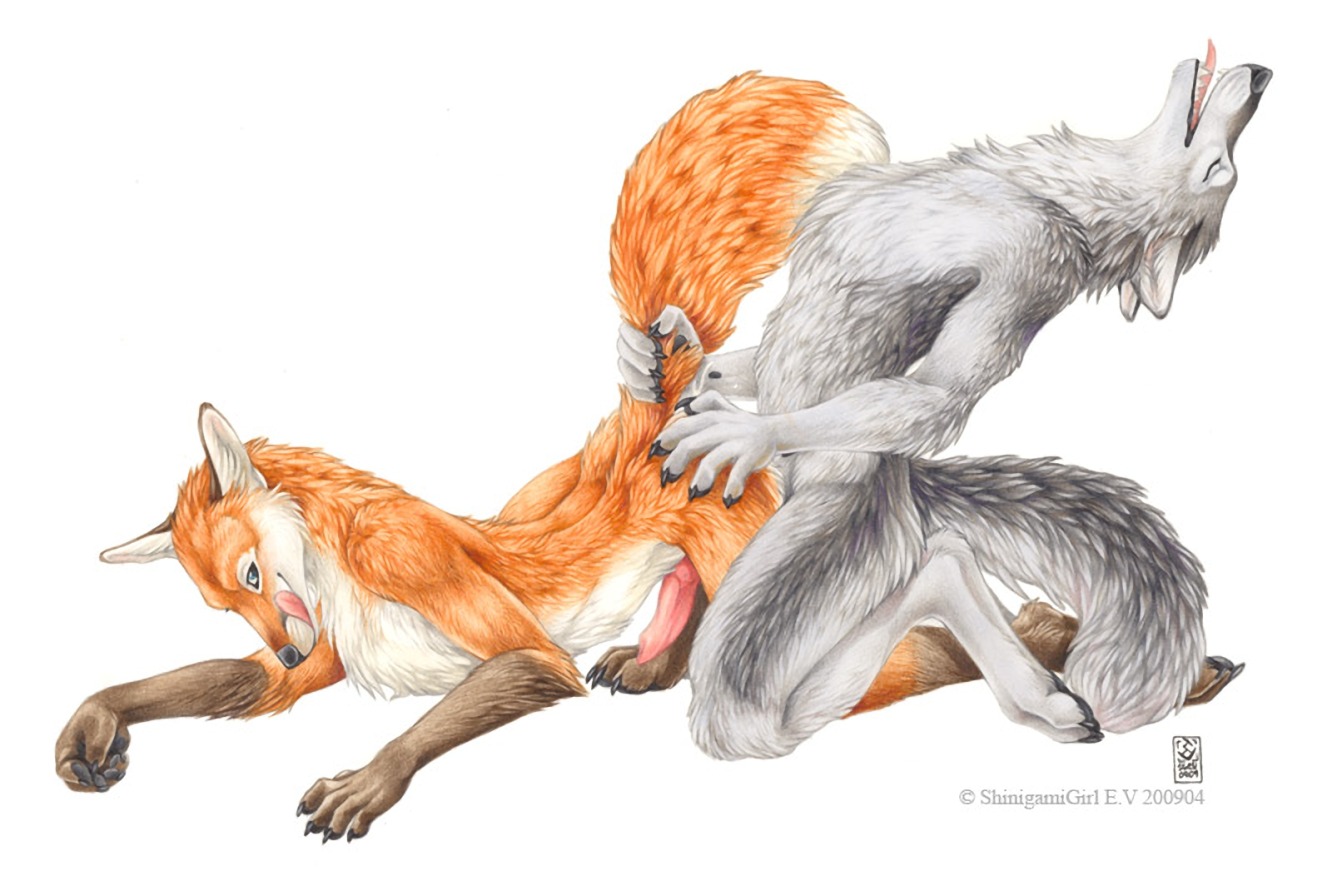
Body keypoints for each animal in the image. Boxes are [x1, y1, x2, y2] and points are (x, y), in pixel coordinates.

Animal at [57, 73, 1082, 841]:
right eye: (221, 602)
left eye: (249, 571)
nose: (289, 640)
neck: (338, 572)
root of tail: (660, 410)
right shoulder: (316, 659)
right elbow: (220, 687)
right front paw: (94, 718)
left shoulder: (459, 602)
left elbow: (500, 679)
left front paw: (372, 780)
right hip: (572, 511)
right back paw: (651, 663)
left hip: (772, 597)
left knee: (917, 639)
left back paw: (1044, 658)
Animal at [641, 45, 1267, 759]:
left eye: (1222, 172)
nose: (1263, 77)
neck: (1042, 190)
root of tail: (904, 485)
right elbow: (737, 364)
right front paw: (682, 356)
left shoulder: (1032, 262)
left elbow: (939, 395)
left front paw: (750, 435)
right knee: (949, 561)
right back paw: (1053, 701)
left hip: (768, 636)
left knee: (893, 603)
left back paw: (1046, 701)